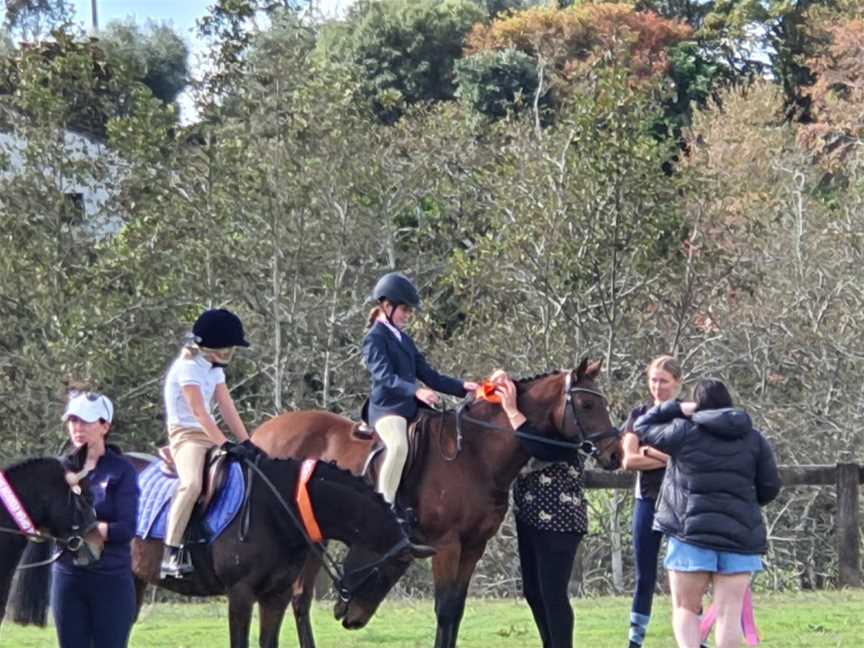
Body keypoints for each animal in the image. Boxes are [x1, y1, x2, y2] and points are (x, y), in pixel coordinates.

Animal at [129, 456, 432, 648]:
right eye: (386, 571)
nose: (355, 621)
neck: (279, 508)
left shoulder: (277, 595)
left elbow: (269, 641)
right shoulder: (240, 594)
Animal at [250, 360, 620, 648]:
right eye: (587, 406)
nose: (615, 454)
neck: (476, 453)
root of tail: (261, 434)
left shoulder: (473, 546)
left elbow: (455, 609)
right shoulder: (446, 544)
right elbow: (443, 608)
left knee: (299, 597)